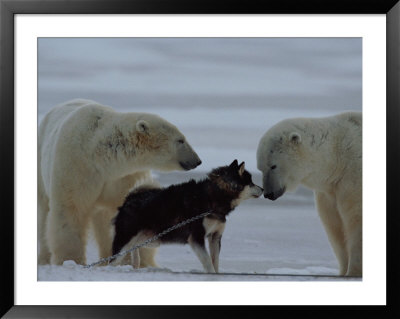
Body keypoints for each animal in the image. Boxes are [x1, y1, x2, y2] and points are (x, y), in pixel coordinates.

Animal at [38, 99, 202, 264]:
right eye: (180, 140)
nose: (197, 161)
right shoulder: (77, 165)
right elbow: (70, 209)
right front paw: (70, 260)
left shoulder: (124, 177)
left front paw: (137, 262)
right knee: (43, 212)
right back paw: (43, 258)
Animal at [111, 161, 264, 274]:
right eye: (250, 182)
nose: (263, 189)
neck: (213, 197)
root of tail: (130, 198)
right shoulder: (196, 237)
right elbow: (208, 262)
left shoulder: (215, 237)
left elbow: (215, 262)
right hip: (127, 240)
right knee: (113, 259)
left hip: (149, 239)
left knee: (134, 249)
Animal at [256, 112, 362, 278]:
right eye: (260, 168)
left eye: (273, 166)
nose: (268, 193)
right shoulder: (330, 190)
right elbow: (334, 225)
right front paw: (342, 271)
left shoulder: (354, 176)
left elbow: (356, 218)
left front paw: (353, 272)